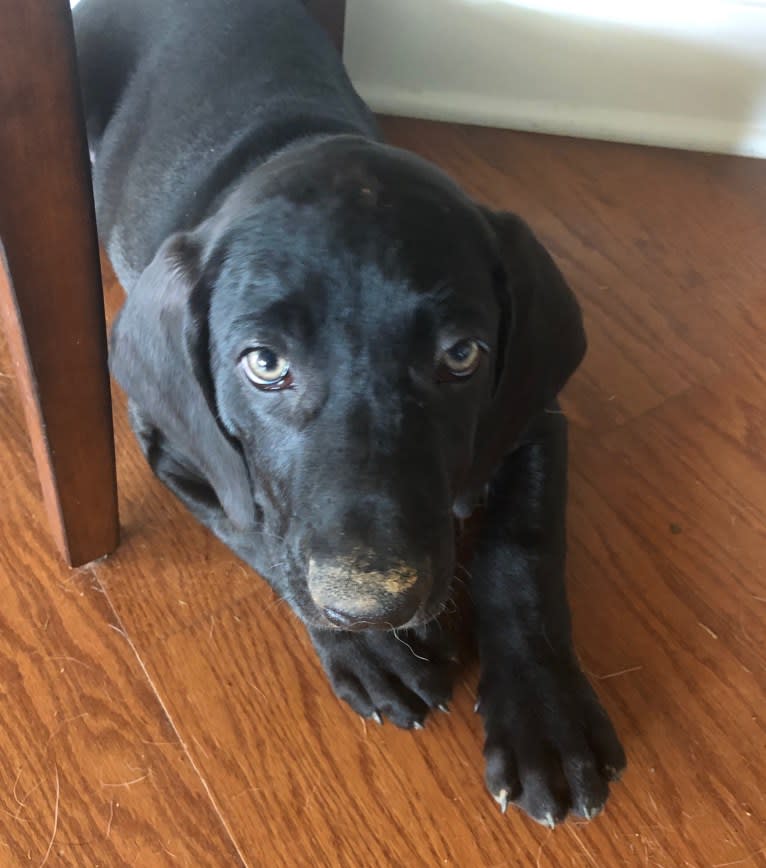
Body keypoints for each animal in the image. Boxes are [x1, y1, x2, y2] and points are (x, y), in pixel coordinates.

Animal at [73, 0, 624, 824]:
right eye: (265, 364)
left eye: (461, 354)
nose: (370, 606)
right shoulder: (177, 446)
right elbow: (257, 529)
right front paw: (369, 651)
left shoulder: (531, 415)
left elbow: (522, 549)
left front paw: (544, 717)